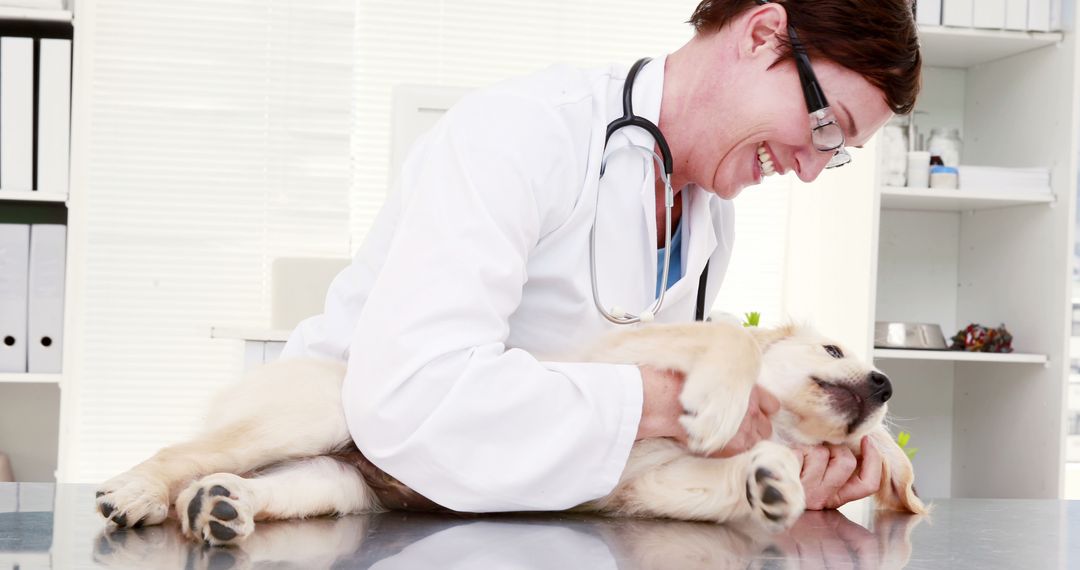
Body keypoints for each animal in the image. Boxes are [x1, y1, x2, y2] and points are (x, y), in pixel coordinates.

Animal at [97, 319, 924, 544]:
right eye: (834, 350)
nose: (886, 385)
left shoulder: (656, 484)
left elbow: (725, 476)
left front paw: (771, 477)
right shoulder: (614, 355)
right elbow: (725, 339)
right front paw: (723, 400)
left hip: (329, 483)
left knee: (247, 485)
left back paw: (218, 506)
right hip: (316, 413)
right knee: (183, 451)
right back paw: (137, 491)